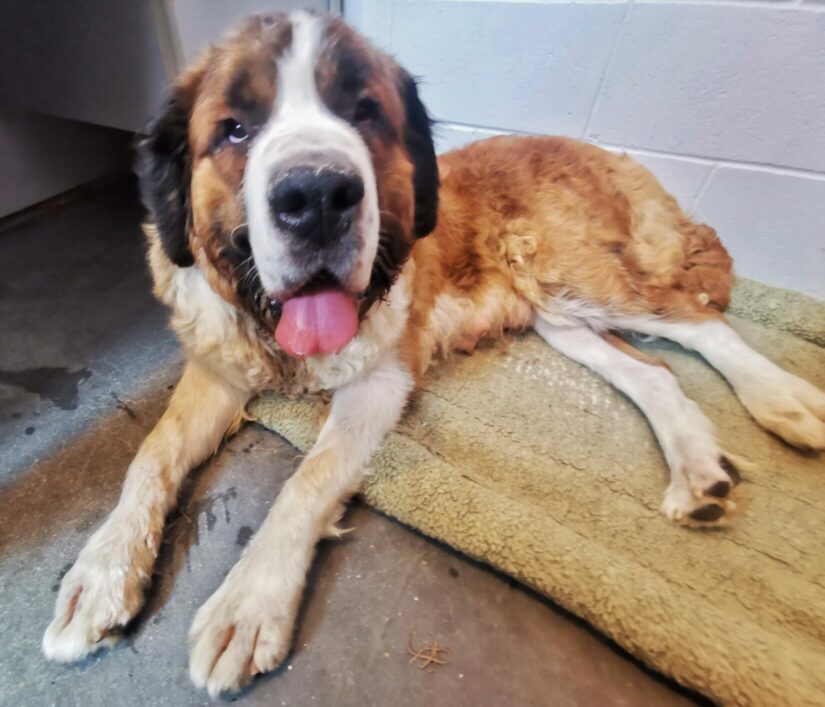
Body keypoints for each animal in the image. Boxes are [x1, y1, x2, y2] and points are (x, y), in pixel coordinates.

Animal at [43, 8, 824, 700]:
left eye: (363, 113)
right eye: (236, 128)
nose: (316, 196)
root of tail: (602, 151)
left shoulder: (379, 379)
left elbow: (307, 478)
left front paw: (248, 601)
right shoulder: (217, 367)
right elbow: (151, 453)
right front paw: (101, 570)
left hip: (573, 275)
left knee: (698, 324)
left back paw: (784, 400)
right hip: (558, 314)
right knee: (653, 372)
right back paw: (697, 469)